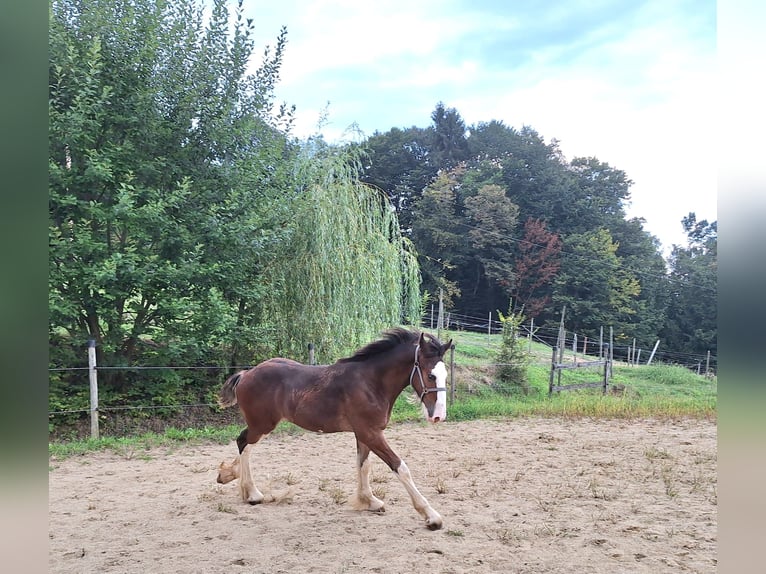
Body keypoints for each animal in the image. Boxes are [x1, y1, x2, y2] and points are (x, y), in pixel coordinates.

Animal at [216, 328, 452, 532]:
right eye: (430, 375)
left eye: (445, 375)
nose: (438, 416)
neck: (371, 383)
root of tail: (246, 374)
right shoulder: (371, 433)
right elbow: (400, 467)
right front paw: (432, 517)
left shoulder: (364, 434)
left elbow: (363, 465)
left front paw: (369, 501)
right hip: (263, 424)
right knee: (243, 442)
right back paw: (252, 494)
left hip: (262, 424)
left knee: (244, 443)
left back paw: (229, 476)